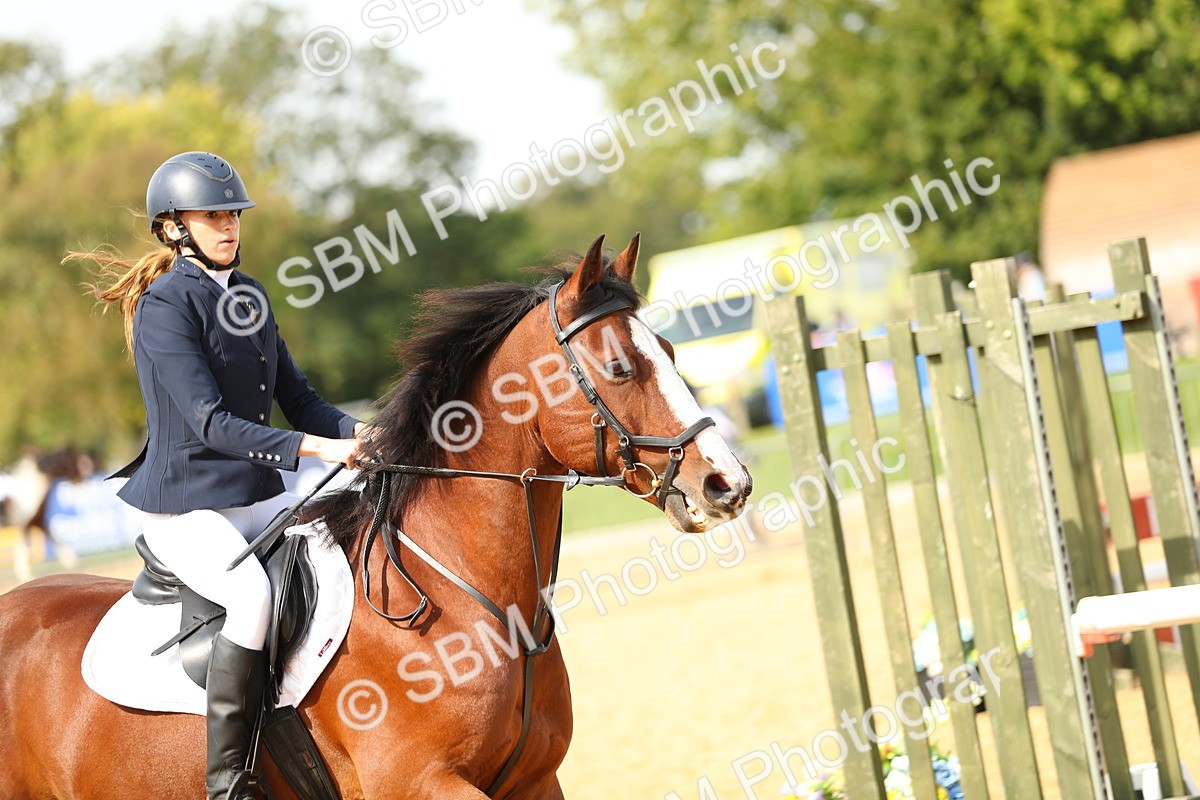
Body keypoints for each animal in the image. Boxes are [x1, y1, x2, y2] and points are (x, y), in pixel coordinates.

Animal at [0, 234, 752, 799]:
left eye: (673, 352)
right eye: (622, 366)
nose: (728, 483)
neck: (463, 591)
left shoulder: (535, 783)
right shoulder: (419, 784)